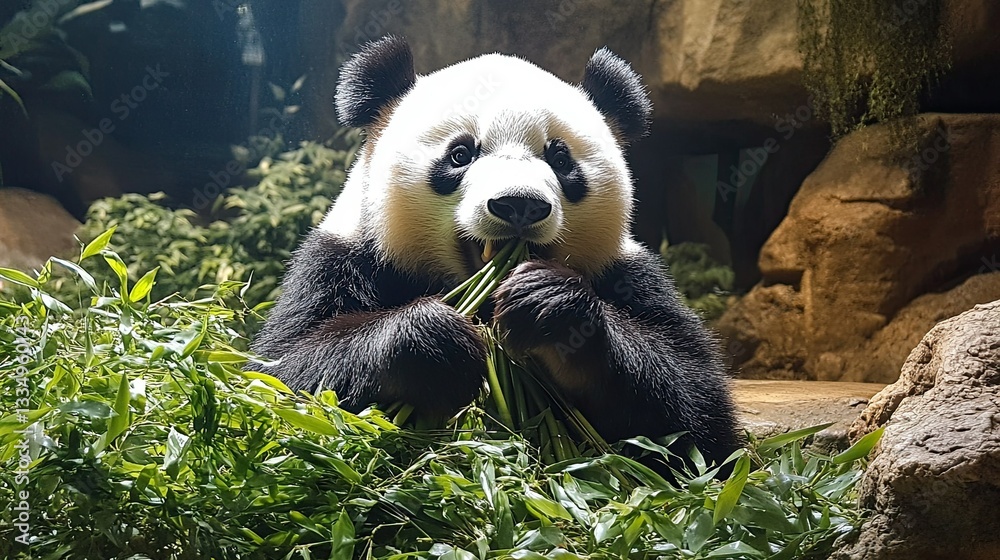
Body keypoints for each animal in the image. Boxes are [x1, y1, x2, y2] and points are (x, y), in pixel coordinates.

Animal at [249, 36, 741, 467]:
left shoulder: (627, 272)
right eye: (461, 154)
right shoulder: (342, 258)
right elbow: (285, 373)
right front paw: (433, 339)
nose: (519, 204)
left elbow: (695, 407)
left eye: (560, 159)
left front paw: (547, 306)